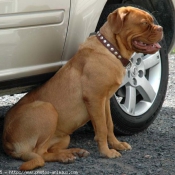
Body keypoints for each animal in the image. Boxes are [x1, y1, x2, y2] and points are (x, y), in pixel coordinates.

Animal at [2, 6, 163, 170]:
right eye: (144, 23)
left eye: (151, 21)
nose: (161, 28)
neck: (111, 49)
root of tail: (7, 143)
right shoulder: (95, 99)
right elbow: (102, 128)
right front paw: (106, 152)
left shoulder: (105, 101)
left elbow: (109, 125)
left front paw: (116, 144)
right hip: (47, 109)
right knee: (40, 153)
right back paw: (65, 156)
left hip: (64, 137)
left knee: (47, 151)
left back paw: (73, 152)